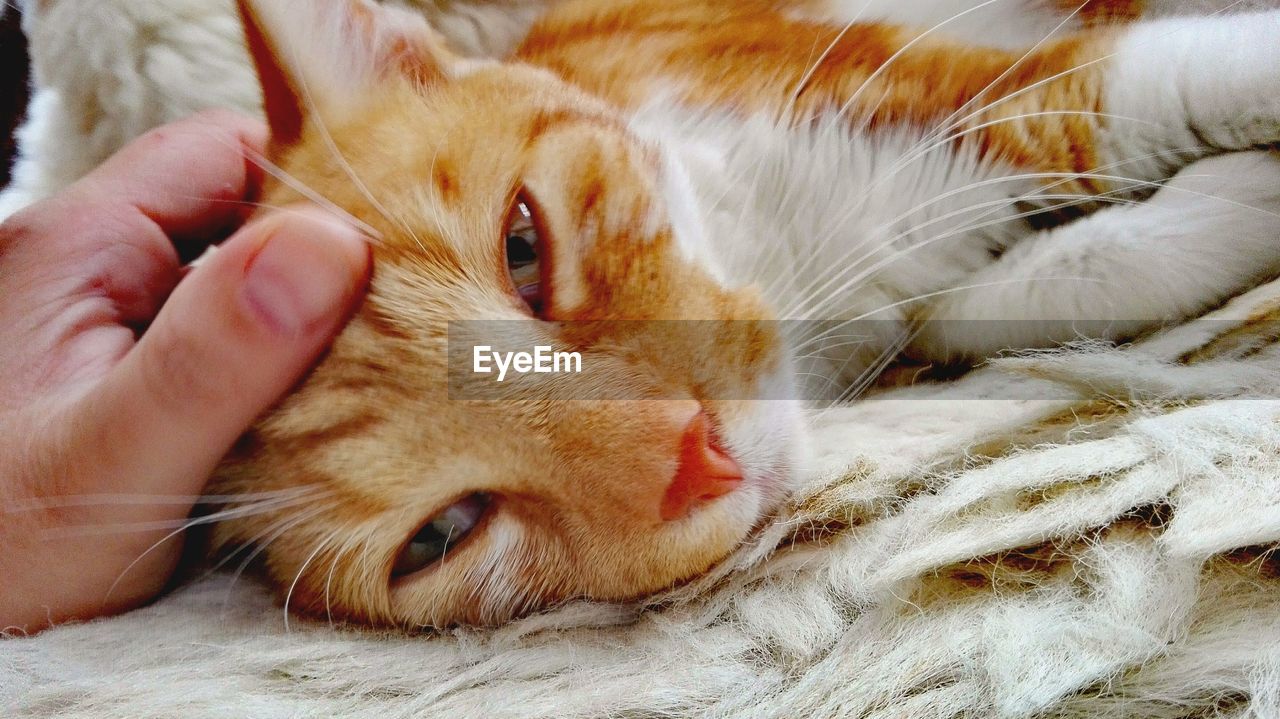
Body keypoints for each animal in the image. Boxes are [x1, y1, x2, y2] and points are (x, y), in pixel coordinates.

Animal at [209, 0, 1280, 626]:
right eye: (443, 534)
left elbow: (1181, 80)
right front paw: (1241, 202)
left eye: (522, 247)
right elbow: (1062, 279)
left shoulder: (971, 92)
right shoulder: (947, 281)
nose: (696, 455)